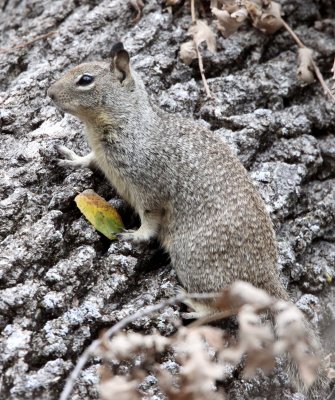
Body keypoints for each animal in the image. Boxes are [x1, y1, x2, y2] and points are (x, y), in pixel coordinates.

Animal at [48, 43, 330, 394]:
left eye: (85, 79)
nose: (49, 93)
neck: (124, 122)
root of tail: (265, 276)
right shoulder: (105, 160)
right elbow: (89, 160)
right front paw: (72, 158)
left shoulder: (150, 186)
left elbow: (150, 219)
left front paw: (135, 235)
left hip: (193, 259)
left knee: (226, 306)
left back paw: (192, 306)